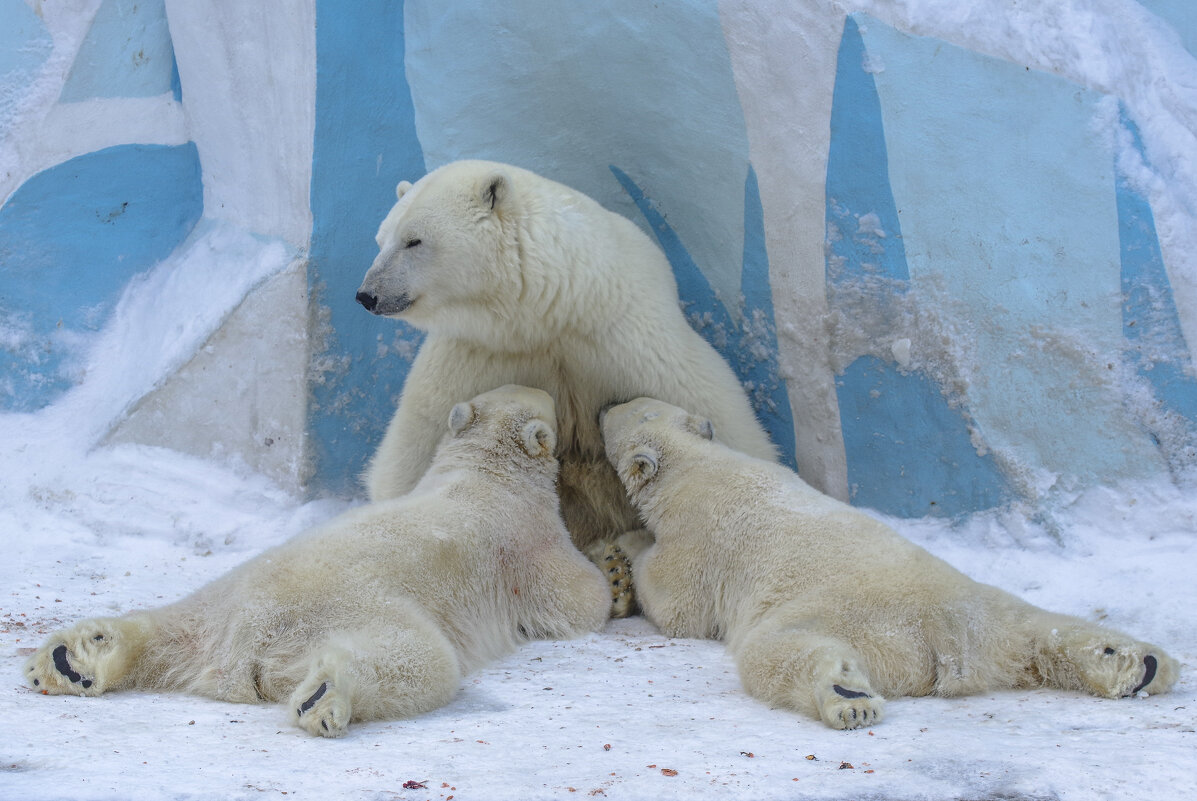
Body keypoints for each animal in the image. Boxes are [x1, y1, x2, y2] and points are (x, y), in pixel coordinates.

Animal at [24, 387, 612, 737]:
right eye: (548, 401)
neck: (484, 470)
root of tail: (253, 634)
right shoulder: (525, 538)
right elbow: (579, 597)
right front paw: (612, 573)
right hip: (363, 610)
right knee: (417, 659)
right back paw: (326, 698)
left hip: (219, 602)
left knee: (169, 627)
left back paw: (72, 658)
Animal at [354, 160, 780, 613]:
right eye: (380, 239)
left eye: (414, 240)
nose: (367, 294)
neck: (548, 311)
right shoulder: (479, 354)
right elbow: (414, 451)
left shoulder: (626, 336)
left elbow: (712, 408)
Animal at [598, 397, 1177, 727]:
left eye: (617, 411)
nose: (602, 404)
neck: (695, 463)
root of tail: (946, 632)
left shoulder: (698, 534)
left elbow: (678, 604)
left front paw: (625, 549)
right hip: (992, 614)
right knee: (1046, 631)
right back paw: (1138, 664)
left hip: (846, 614)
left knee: (782, 651)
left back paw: (847, 697)